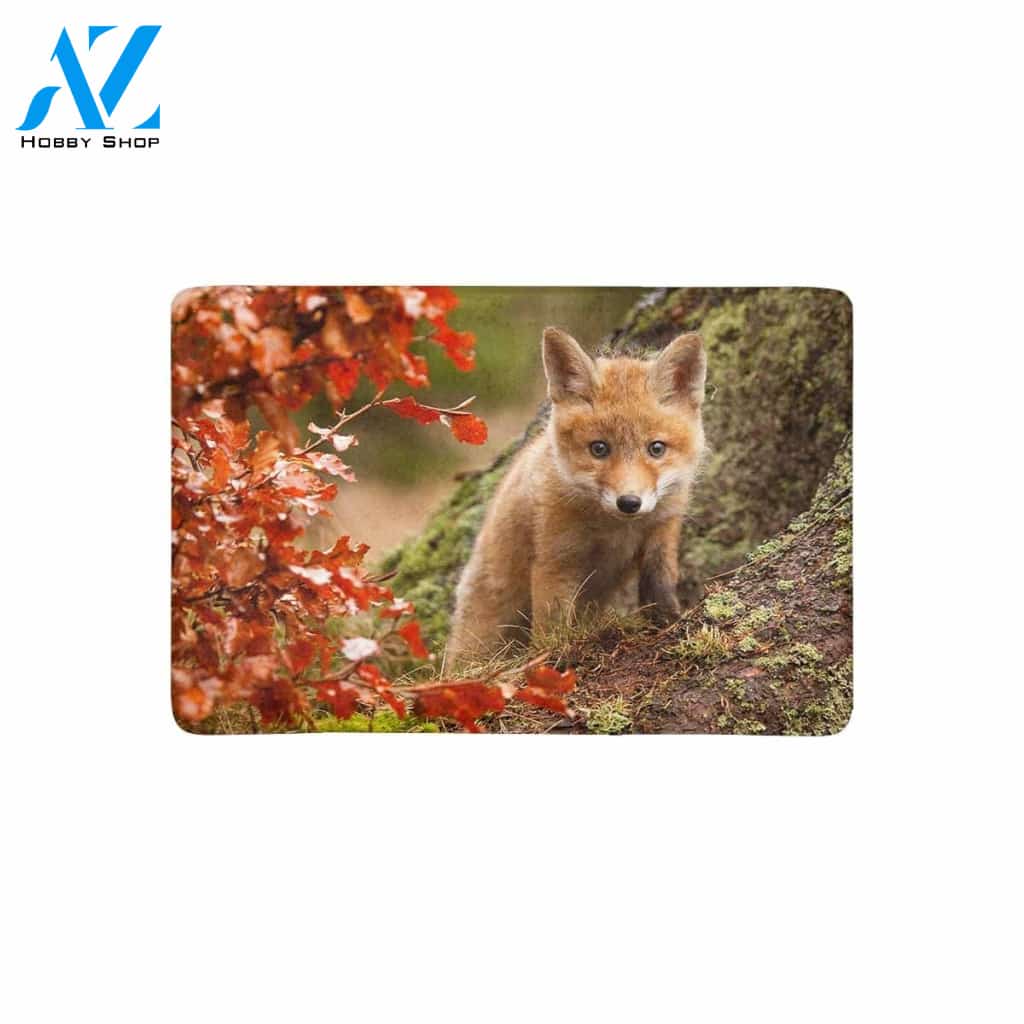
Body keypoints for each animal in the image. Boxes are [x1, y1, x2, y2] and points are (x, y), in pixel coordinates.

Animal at [447, 326, 707, 664]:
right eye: (599, 448)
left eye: (656, 448)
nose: (629, 503)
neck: (615, 530)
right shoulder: (555, 561)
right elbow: (552, 627)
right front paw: (552, 659)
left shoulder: (661, 535)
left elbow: (660, 589)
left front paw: (669, 621)